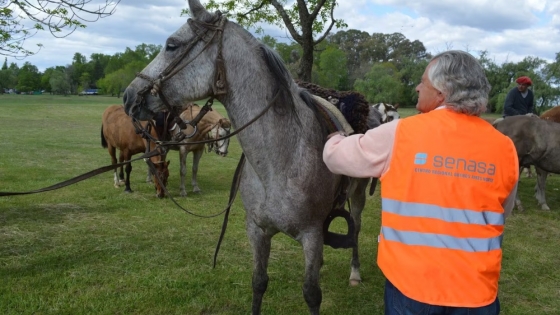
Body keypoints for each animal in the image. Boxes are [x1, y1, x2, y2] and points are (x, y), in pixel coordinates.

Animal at [122, 0, 376, 314]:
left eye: (171, 45)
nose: (128, 96)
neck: (279, 163)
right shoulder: (257, 230)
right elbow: (259, 283)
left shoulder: (311, 234)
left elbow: (311, 293)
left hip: (358, 197)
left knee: (357, 228)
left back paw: (355, 273)